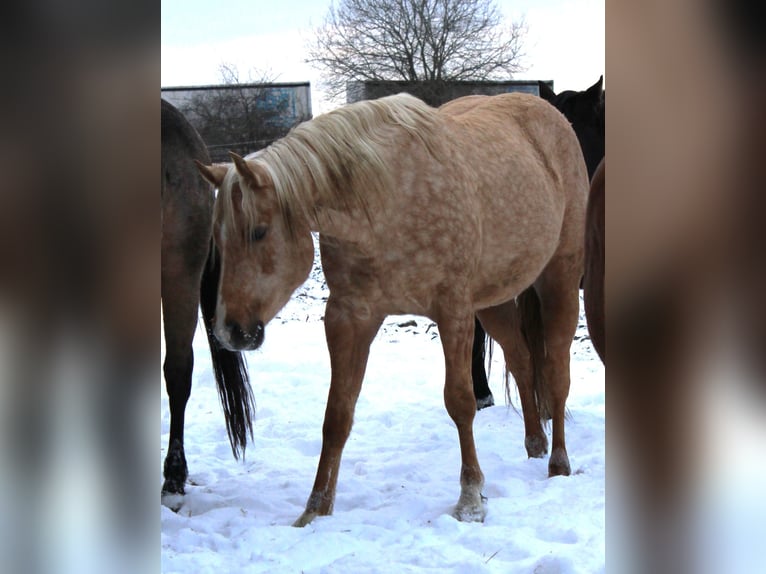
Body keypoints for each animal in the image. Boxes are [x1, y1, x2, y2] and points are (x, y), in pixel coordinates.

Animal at [197, 92, 587, 525]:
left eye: (258, 232)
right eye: (217, 239)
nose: (230, 331)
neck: (385, 199)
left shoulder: (453, 312)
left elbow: (461, 402)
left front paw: (470, 499)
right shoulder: (350, 318)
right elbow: (337, 414)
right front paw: (315, 509)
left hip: (559, 277)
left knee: (556, 371)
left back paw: (558, 463)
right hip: (495, 300)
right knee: (521, 360)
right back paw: (535, 444)